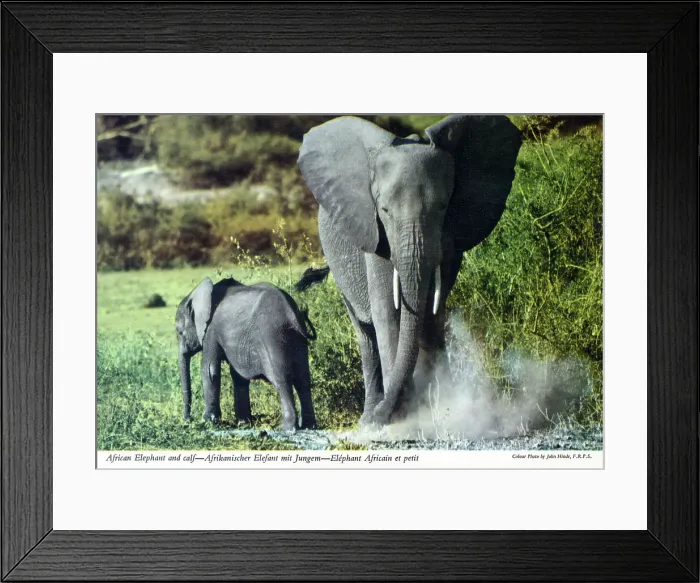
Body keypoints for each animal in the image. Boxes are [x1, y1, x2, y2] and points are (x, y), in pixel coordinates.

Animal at [175, 277, 317, 431]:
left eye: (179, 332)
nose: (187, 420)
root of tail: (291, 313)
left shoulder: (210, 330)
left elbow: (209, 370)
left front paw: (208, 422)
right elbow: (238, 376)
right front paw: (243, 423)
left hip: (272, 335)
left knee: (282, 380)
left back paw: (287, 428)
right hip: (297, 339)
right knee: (303, 380)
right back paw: (309, 426)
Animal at [296, 115, 522, 427]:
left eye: (443, 206)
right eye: (384, 210)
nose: (384, 414)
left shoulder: (449, 240)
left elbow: (430, 313)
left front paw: (435, 409)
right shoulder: (375, 235)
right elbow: (388, 313)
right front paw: (399, 416)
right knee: (365, 335)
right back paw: (368, 419)